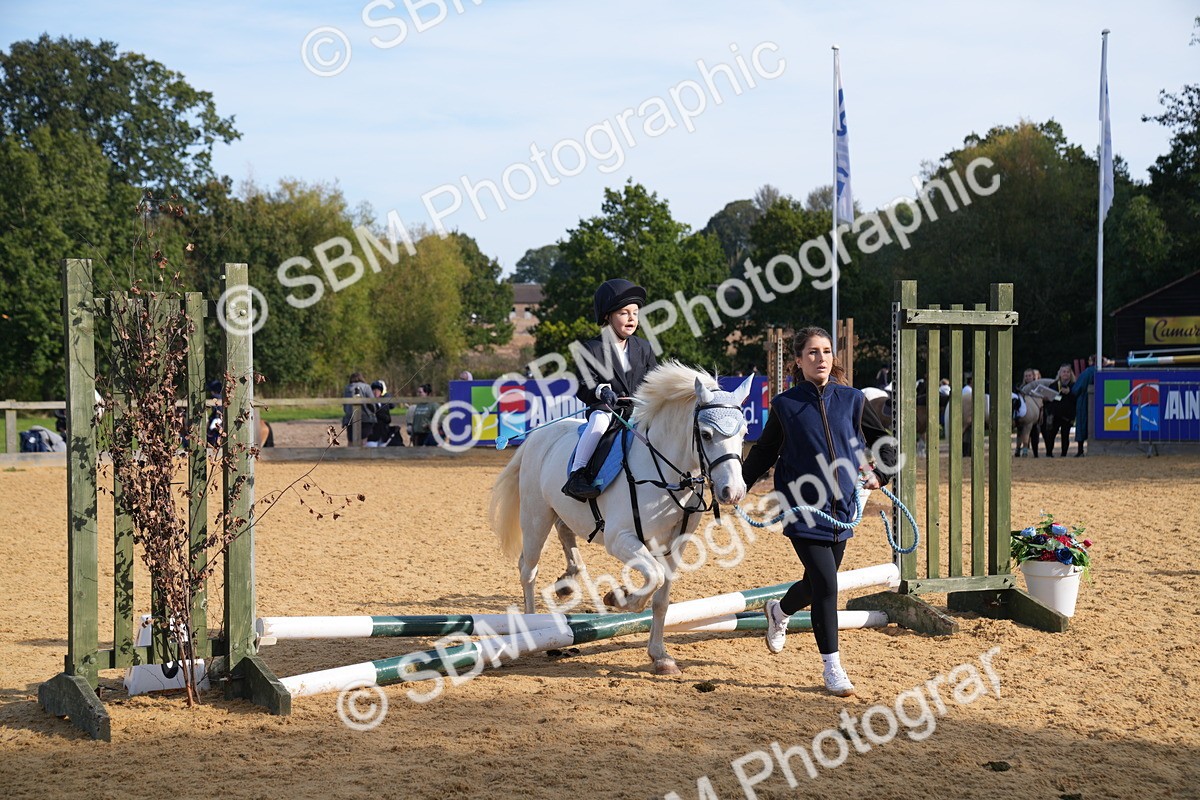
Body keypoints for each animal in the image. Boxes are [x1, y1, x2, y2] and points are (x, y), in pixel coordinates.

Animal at [488, 361, 752, 676]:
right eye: (707, 434)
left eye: (744, 432)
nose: (733, 492)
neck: (665, 473)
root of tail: (537, 438)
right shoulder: (620, 538)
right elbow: (654, 576)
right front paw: (618, 597)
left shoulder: (676, 544)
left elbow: (662, 598)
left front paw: (660, 656)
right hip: (536, 517)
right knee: (528, 569)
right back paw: (531, 630)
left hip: (561, 510)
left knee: (566, 534)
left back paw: (568, 580)